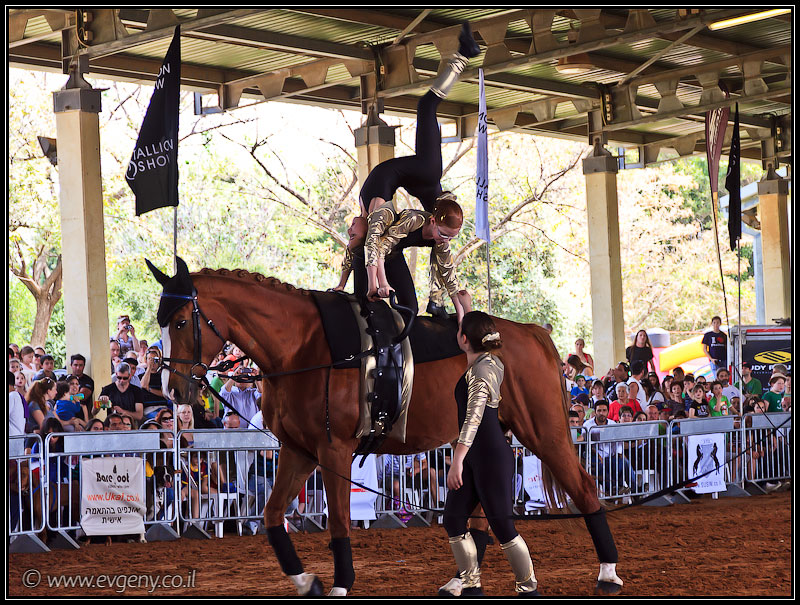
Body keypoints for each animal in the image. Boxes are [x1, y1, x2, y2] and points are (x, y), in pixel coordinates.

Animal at [148, 258, 623, 596]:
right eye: (159, 323)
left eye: (181, 321)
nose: (173, 389)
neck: (304, 347)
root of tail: (529, 333)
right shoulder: (298, 450)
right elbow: (270, 516)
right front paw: (307, 581)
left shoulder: (333, 449)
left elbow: (340, 521)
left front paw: (340, 584)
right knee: (483, 513)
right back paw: (461, 580)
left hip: (544, 432)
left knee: (585, 489)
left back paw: (608, 573)